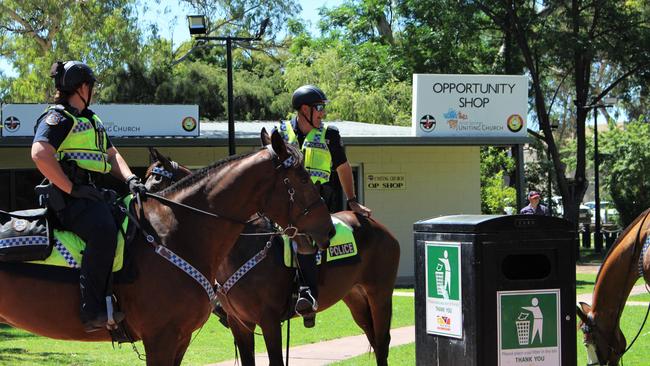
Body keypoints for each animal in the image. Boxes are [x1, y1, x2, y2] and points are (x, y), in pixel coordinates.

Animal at [146, 149, 400, 366]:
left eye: (157, 180)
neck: (242, 247)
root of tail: (379, 227)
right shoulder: (240, 323)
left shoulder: (269, 321)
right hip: (355, 298)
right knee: (373, 338)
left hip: (379, 295)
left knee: (382, 342)